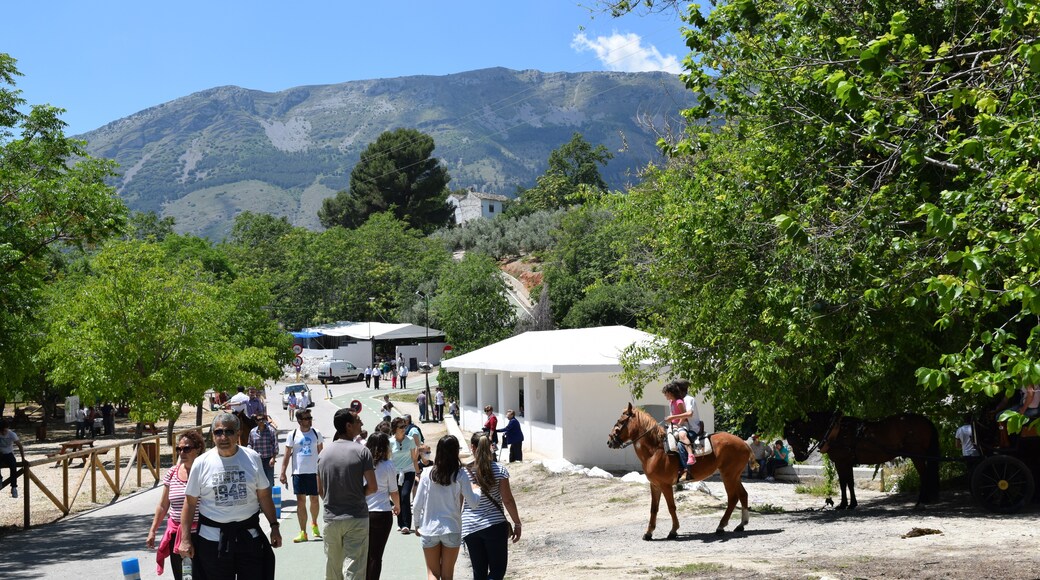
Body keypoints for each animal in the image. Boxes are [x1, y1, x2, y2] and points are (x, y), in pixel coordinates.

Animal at [607, 405, 748, 540]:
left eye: (621, 421)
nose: (610, 441)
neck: (656, 451)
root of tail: (744, 444)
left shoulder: (665, 485)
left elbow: (671, 507)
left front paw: (673, 531)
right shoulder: (655, 485)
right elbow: (654, 509)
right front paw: (648, 533)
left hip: (728, 476)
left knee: (733, 498)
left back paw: (721, 526)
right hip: (734, 476)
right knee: (743, 495)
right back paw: (741, 524)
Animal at [782, 411, 940, 511]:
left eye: (792, 438)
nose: (800, 458)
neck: (837, 431)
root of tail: (925, 421)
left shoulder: (842, 462)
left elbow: (845, 483)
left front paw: (846, 504)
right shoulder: (845, 463)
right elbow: (848, 483)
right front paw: (849, 503)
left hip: (917, 456)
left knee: (924, 476)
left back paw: (921, 501)